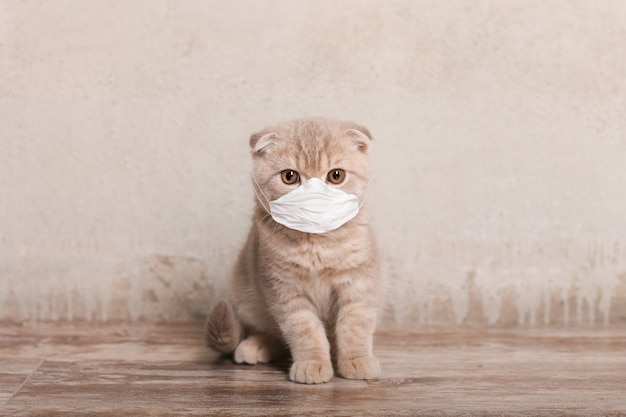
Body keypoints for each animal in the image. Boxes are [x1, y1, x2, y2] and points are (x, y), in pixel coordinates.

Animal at [206, 116, 380, 384]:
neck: (317, 244)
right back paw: (256, 345)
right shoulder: (286, 291)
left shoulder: (358, 283)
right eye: (289, 176)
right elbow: (304, 331)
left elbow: (355, 325)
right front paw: (313, 363)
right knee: (273, 334)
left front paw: (356, 360)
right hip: (248, 296)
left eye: (336, 175)